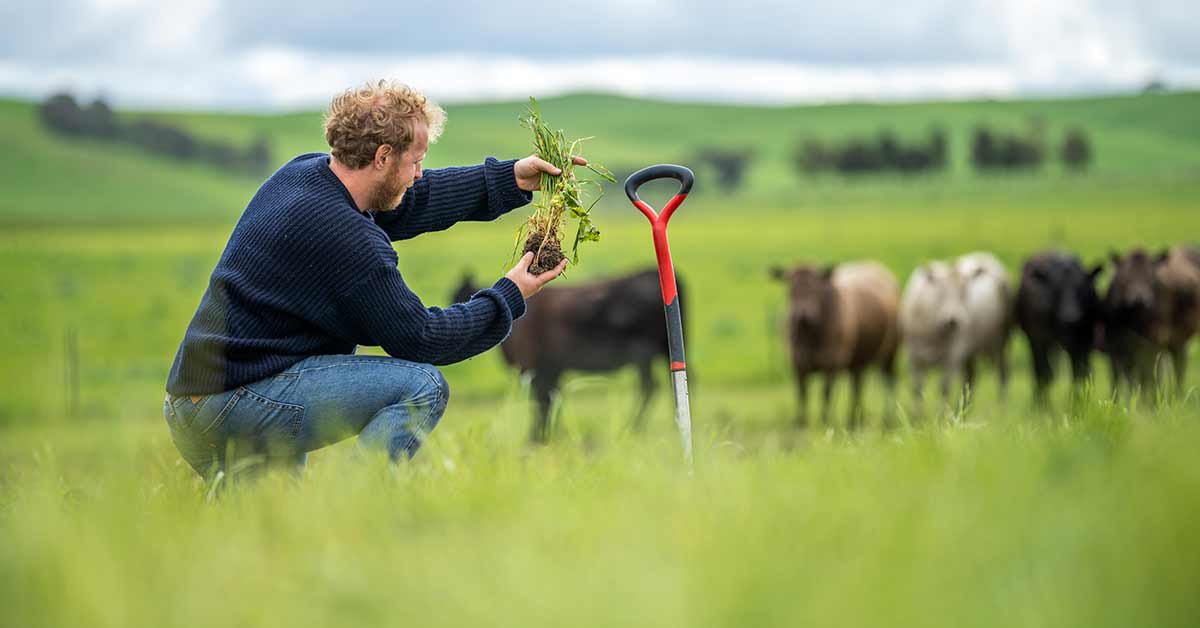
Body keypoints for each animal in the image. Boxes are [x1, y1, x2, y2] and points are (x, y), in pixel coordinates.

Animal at [452, 268, 680, 443]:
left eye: (458, 297)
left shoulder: (536, 369)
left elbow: (541, 402)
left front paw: (537, 437)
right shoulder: (552, 370)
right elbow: (552, 400)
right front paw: (548, 435)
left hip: (643, 353)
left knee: (650, 387)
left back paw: (632, 428)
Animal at [769, 261, 900, 430]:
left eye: (815, 288)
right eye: (790, 288)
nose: (803, 316)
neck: (810, 337)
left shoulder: (831, 365)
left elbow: (826, 393)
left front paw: (826, 421)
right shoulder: (798, 364)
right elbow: (802, 394)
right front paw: (800, 423)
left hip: (890, 352)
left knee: (889, 380)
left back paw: (887, 418)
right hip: (858, 359)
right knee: (857, 385)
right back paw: (854, 419)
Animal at [900, 252, 1012, 416]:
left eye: (964, 293)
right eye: (941, 291)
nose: (954, 320)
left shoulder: (952, 357)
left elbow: (944, 387)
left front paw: (942, 415)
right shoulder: (913, 357)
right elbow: (917, 388)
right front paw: (917, 416)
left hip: (1001, 343)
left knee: (1002, 373)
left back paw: (1001, 408)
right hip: (971, 354)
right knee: (971, 378)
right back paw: (965, 410)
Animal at [1014, 252, 1103, 404]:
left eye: (1081, 288)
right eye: (1056, 289)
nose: (1071, 317)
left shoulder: (1082, 344)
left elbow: (1080, 374)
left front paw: (1077, 403)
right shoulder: (1039, 339)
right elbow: (1045, 374)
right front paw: (1043, 407)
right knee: (1040, 372)